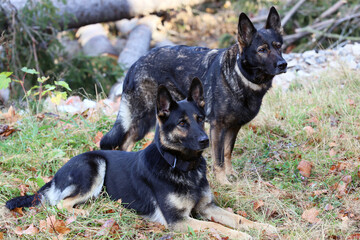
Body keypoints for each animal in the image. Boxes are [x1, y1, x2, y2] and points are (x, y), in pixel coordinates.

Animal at [100, 6, 288, 185]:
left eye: (278, 46)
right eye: (262, 50)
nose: (283, 64)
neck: (240, 75)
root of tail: (135, 63)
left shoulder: (234, 127)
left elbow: (228, 152)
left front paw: (231, 175)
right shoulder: (217, 127)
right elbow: (219, 158)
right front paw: (223, 181)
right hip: (141, 118)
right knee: (124, 142)